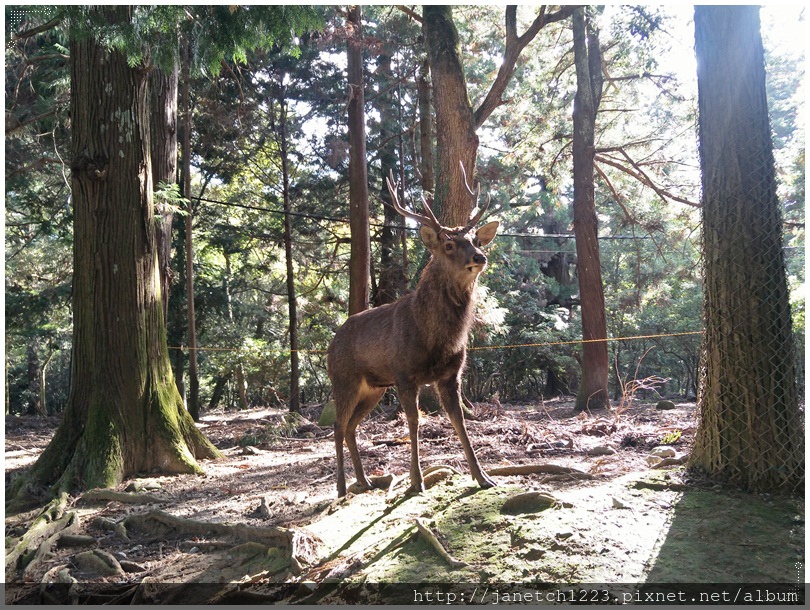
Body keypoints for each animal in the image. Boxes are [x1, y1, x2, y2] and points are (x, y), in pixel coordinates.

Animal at [326, 165, 498, 494]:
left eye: (476, 240)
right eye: (448, 245)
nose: (479, 257)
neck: (435, 339)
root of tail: (330, 345)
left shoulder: (451, 375)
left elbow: (459, 422)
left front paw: (483, 476)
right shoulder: (404, 373)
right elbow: (414, 422)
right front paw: (416, 481)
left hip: (374, 387)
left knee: (352, 426)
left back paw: (364, 480)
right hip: (344, 378)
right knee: (338, 425)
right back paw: (341, 486)